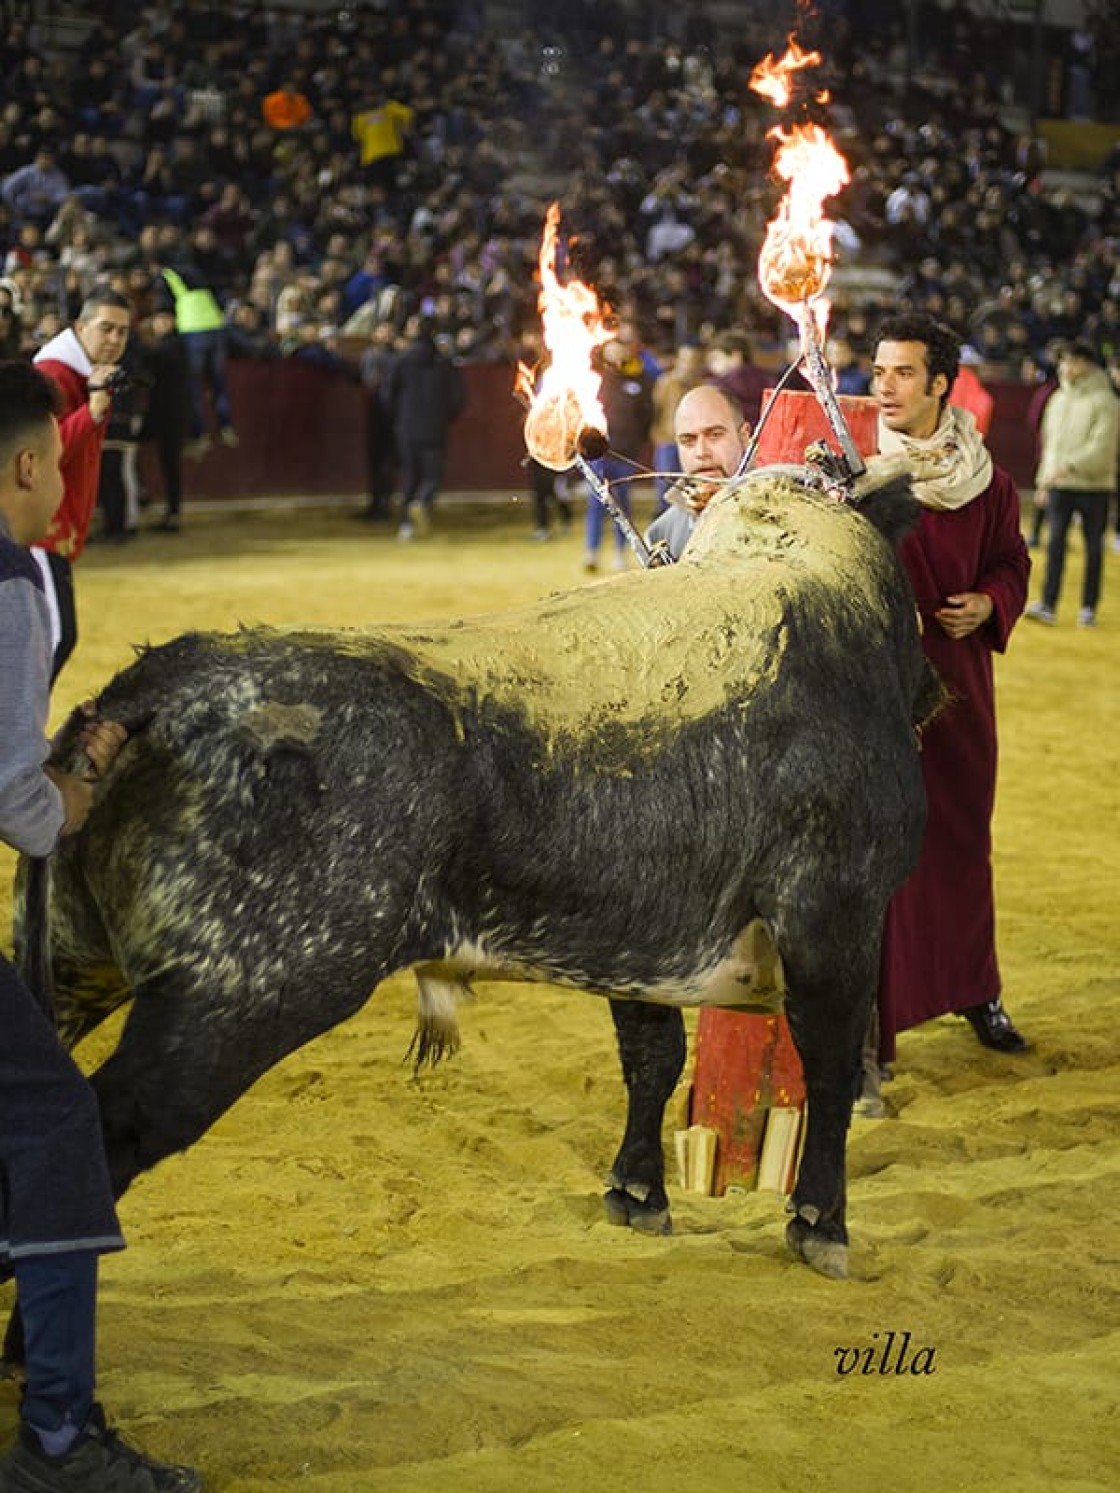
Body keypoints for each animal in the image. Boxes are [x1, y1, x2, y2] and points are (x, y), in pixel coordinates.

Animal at [21, 468, 943, 1283]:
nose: (938, 694)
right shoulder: (835, 914)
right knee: (108, 1132)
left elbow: (653, 1055)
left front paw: (637, 1190)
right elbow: (828, 1063)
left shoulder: (645, 935)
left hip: (75, 963)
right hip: (235, 998)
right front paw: (821, 1222)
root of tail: (148, 692)